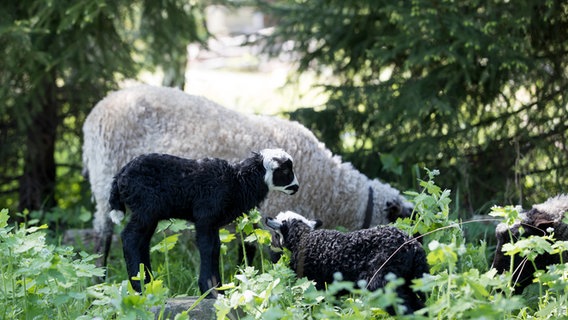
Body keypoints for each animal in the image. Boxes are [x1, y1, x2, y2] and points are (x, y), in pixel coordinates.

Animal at [83, 85, 412, 268]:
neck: (331, 189)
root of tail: (99, 108)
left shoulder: (255, 218)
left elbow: (248, 251)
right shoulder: (275, 215)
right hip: (105, 177)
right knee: (102, 234)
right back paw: (100, 275)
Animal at [108, 149, 300, 296]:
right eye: (285, 171)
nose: (297, 187)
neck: (237, 181)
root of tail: (120, 176)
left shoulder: (213, 223)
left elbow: (215, 248)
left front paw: (218, 289)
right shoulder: (205, 217)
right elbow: (207, 248)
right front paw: (209, 290)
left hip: (149, 214)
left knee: (142, 242)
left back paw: (148, 283)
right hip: (146, 208)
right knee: (130, 238)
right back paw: (139, 286)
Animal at [264, 210, 428, 316]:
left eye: (277, 233)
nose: (272, 245)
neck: (303, 238)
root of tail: (412, 246)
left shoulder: (314, 282)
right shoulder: (332, 287)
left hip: (382, 279)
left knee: (403, 307)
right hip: (408, 280)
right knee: (417, 305)